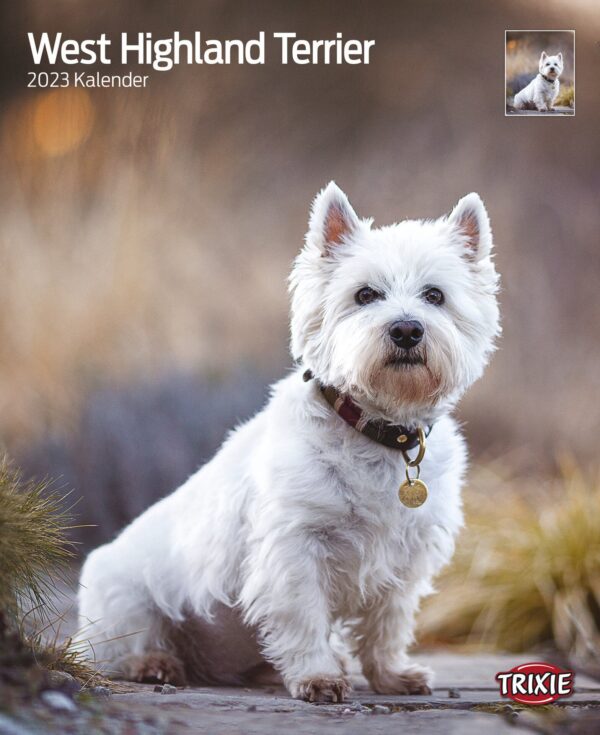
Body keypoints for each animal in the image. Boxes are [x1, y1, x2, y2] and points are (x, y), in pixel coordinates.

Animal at [78, 183, 502, 700]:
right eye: (365, 294)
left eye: (435, 295)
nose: (406, 329)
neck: (380, 429)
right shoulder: (294, 546)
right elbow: (304, 616)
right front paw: (319, 677)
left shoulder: (405, 556)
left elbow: (387, 624)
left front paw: (393, 676)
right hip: (124, 594)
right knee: (123, 645)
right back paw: (155, 664)